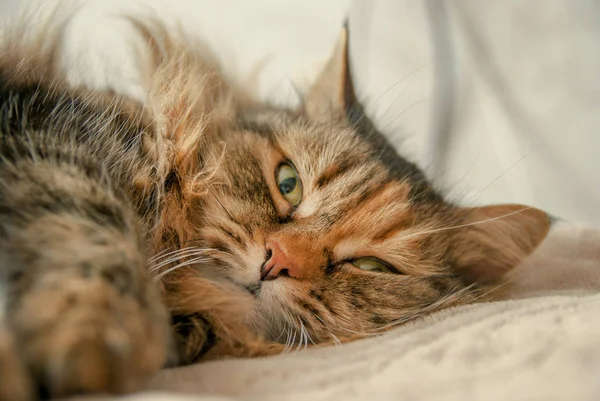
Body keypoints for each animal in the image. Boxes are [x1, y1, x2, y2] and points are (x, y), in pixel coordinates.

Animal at [0, 14, 552, 398]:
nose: (277, 261)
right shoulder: (54, 136)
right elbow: (97, 232)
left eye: (372, 266)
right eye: (288, 183)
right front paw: (87, 344)